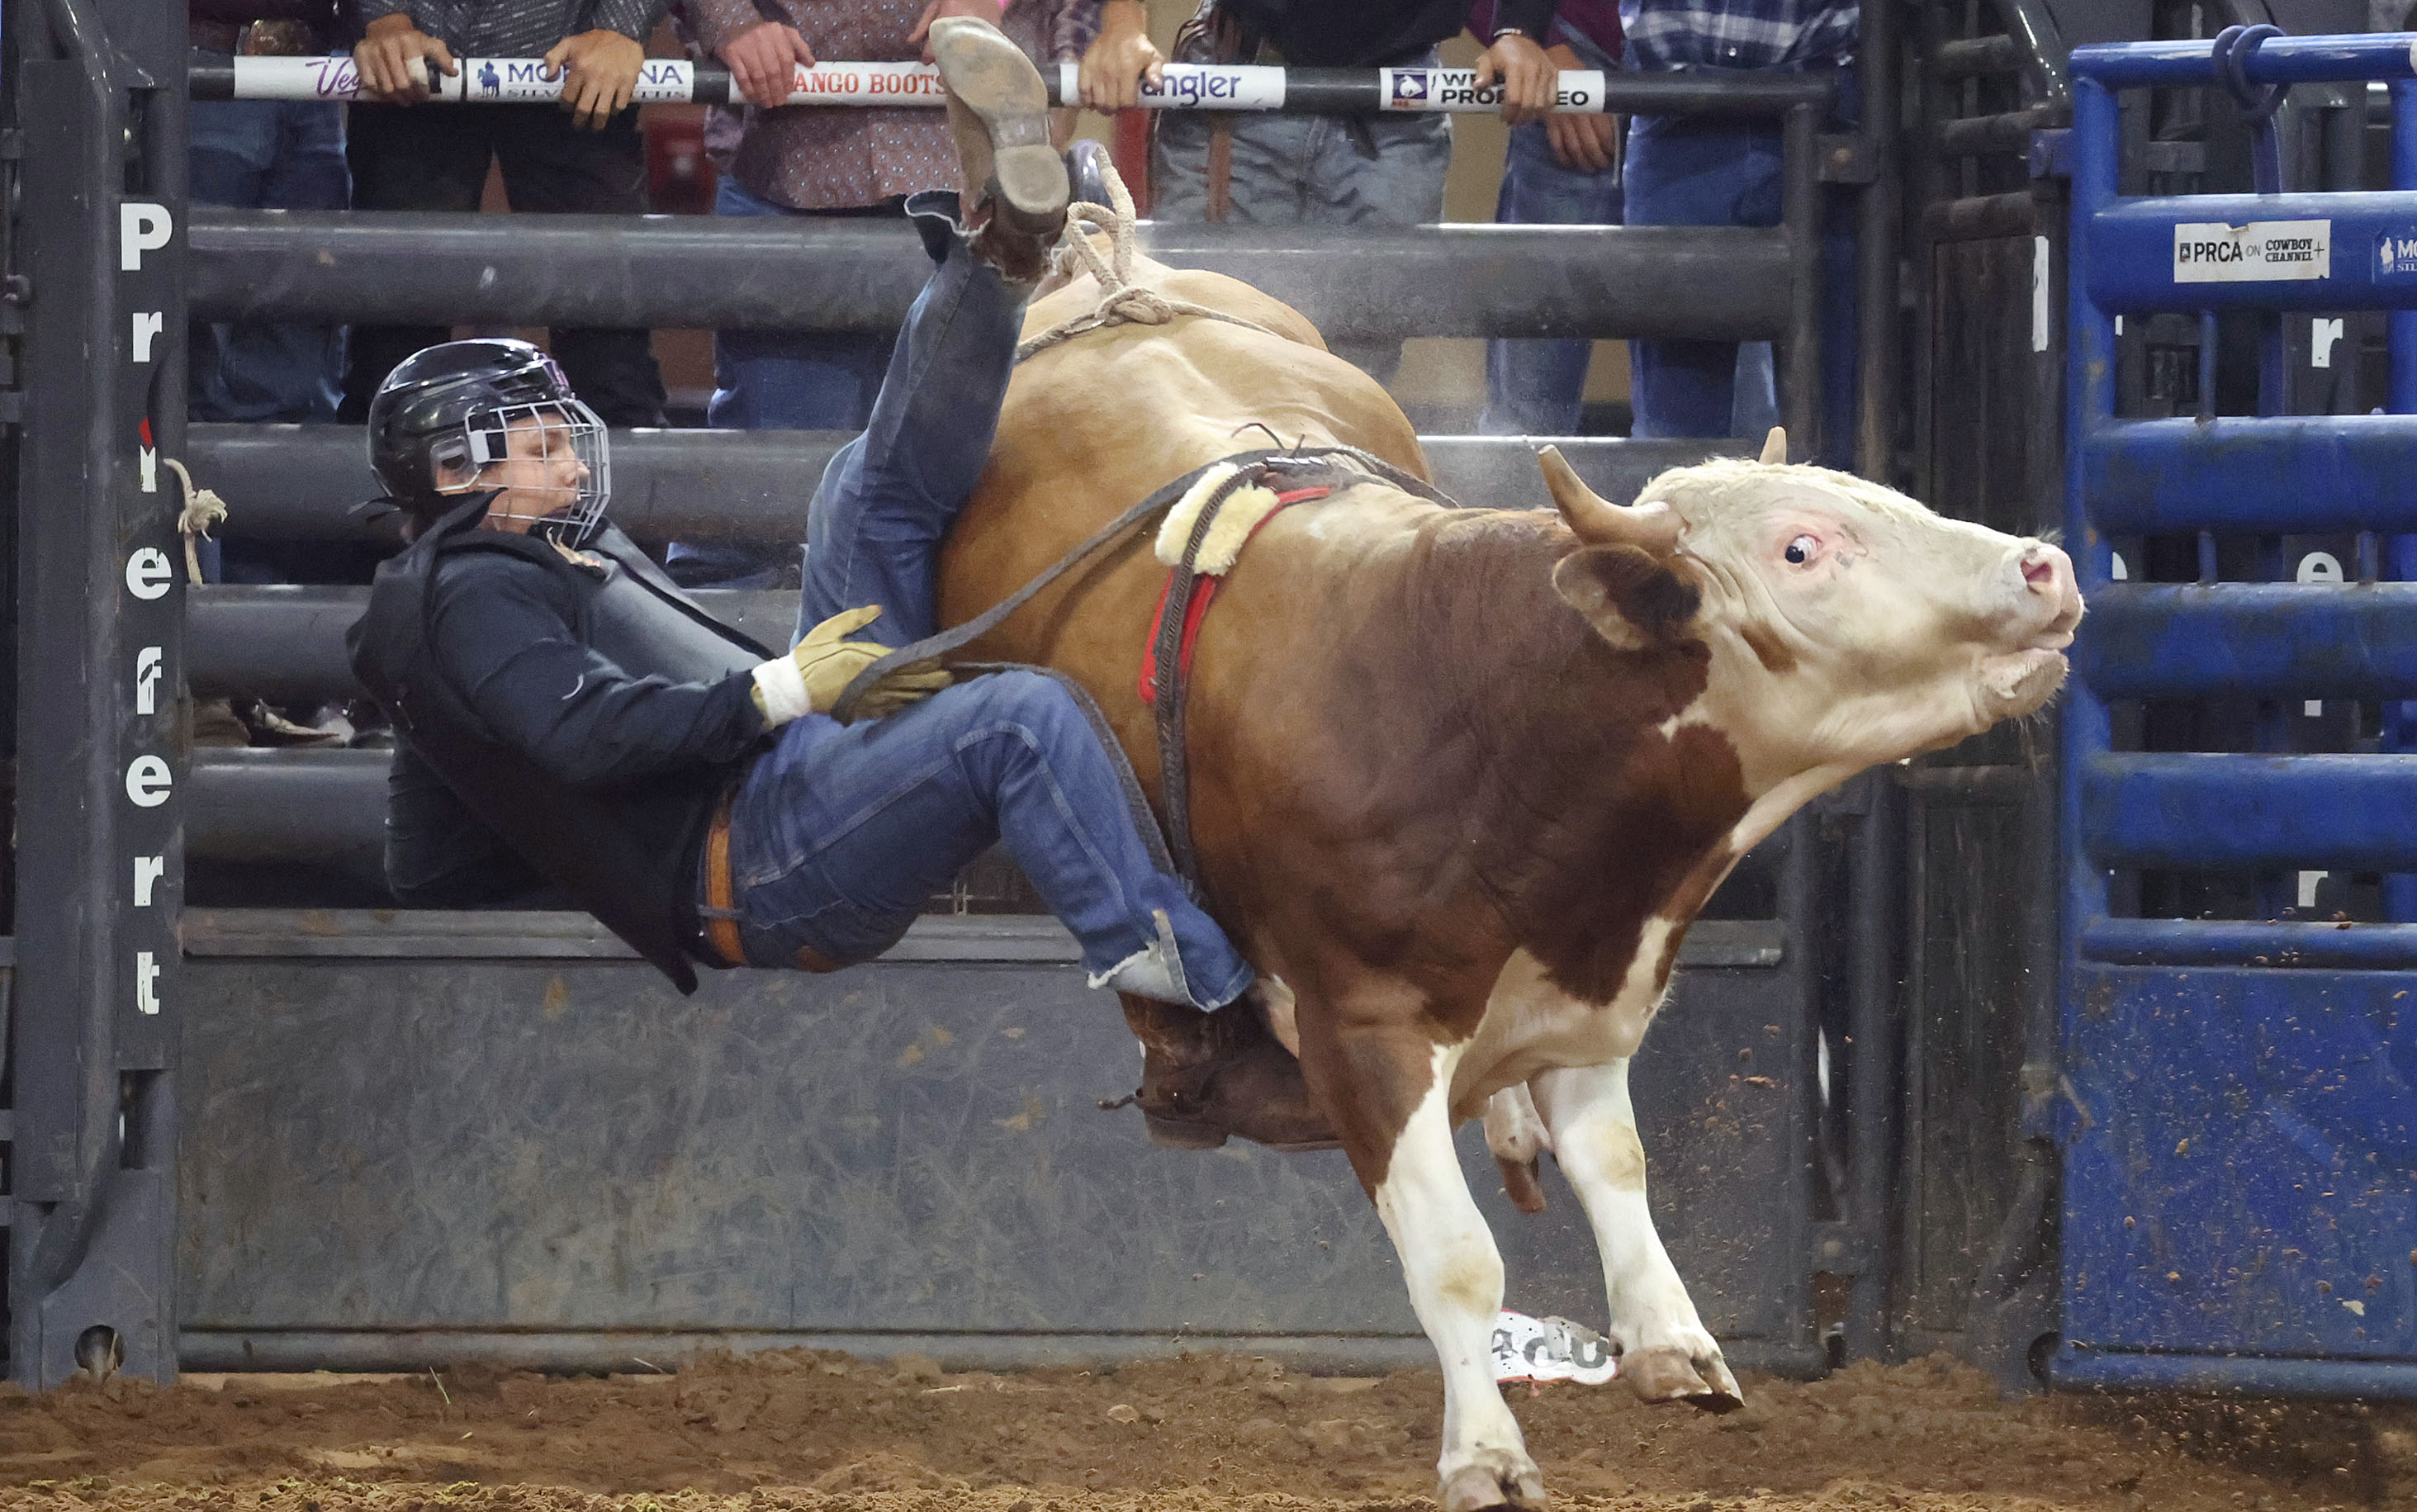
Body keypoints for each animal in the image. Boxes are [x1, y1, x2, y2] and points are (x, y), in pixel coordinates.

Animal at [936, 245, 2082, 1511]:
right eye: (1798, 547)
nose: (2041, 565)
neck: (1485, 711)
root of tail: (1115, 278)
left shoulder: (1585, 985)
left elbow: (1617, 1161)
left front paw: (1669, 1338)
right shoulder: (1365, 1030)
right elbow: (1455, 1260)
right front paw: (1483, 1449)